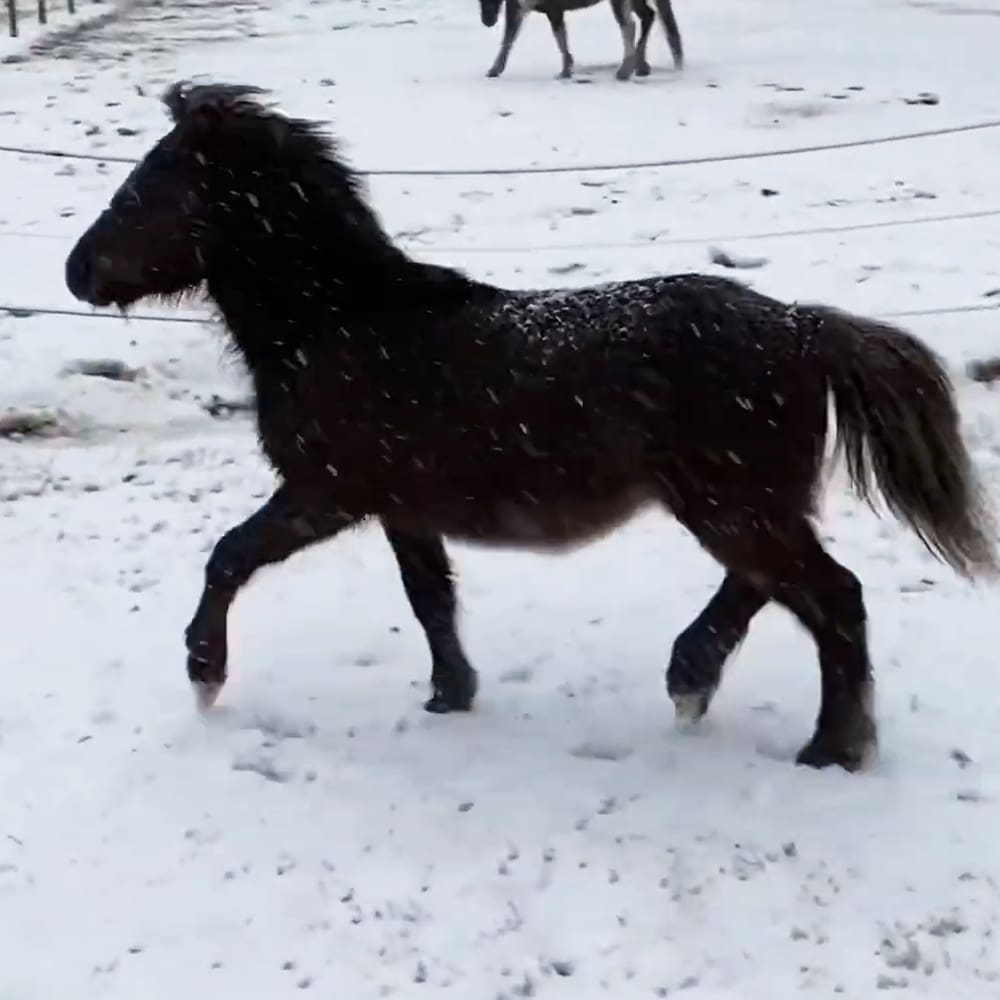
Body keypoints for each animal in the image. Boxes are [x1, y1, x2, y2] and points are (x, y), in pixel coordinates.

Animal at [65, 82, 996, 772]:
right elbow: (431, 599)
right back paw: (692, 679)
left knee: (831, 596)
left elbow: (229, 557)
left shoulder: (327, 492)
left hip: (735, 505)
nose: (77, 271)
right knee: (770, 586)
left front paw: (203, 674)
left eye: (150, 186)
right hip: (743, 506)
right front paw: (451, 695)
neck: (344, 324)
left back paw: (828, 748)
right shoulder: (402, 506)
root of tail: (804, 326)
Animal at [480, 0, 683, 81]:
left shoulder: (550, 9)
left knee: (630, 25)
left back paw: (625, 71)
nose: (487, 20)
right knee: (648, 16)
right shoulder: (527, 7)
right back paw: (641, 66)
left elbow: (559, 37)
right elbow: (510, 36)